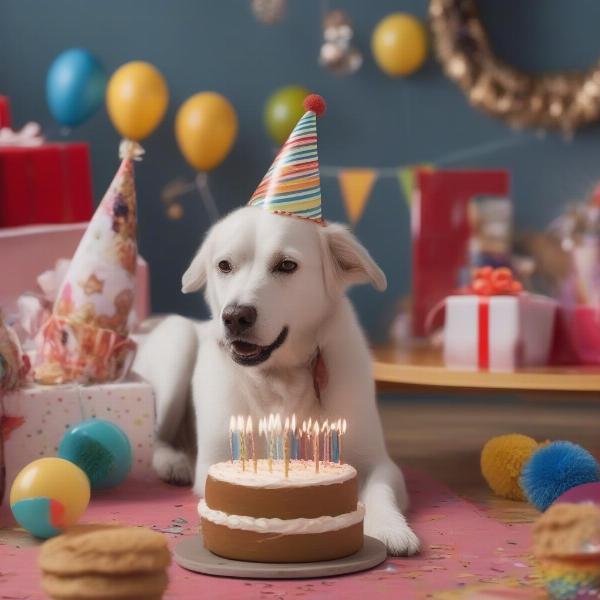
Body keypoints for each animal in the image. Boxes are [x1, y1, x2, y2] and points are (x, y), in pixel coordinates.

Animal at [134, 205, 420, 552]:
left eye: (286, 265)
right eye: (224, 265)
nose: (234, 317)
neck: (279, 375)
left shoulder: (378, 462)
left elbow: (380, 491)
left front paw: (392, 529)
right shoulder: (215, 462)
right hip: (179, 340)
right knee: (156, 438)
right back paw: (173, 462)